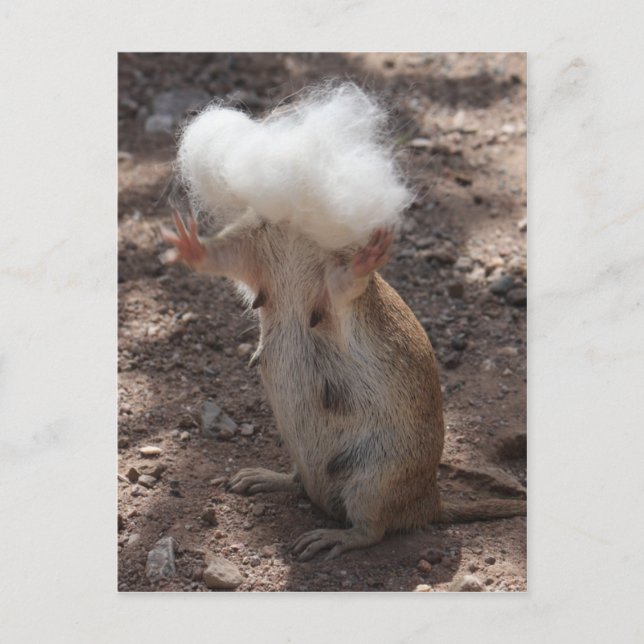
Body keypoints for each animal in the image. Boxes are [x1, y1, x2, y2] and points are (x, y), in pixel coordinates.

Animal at [161, 210, 526, 561]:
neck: (294, 229)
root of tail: (429, 503)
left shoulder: (334, 282)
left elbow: (346, 283)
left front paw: (371, 256)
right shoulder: (251, 244)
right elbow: (222, 258)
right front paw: (187, 243)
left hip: (373, 482)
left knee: (372, 530)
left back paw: (330, 538)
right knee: (301, 484)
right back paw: (261, 478)